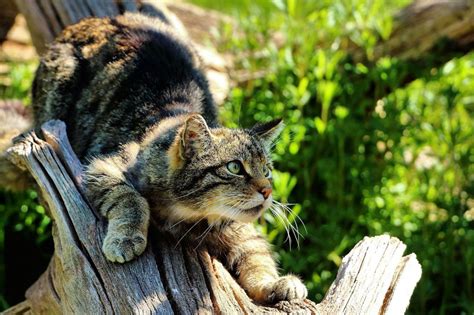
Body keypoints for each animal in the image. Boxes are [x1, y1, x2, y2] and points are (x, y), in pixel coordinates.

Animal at [32, 12, 308, 304]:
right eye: (235, 167)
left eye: (266, 171)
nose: (267, 191)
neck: (190, 213)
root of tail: (102, 18)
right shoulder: (104, 165)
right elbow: (129, 197)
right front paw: (125, 238)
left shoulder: (238, 230)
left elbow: (257, 255)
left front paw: (276, 283)